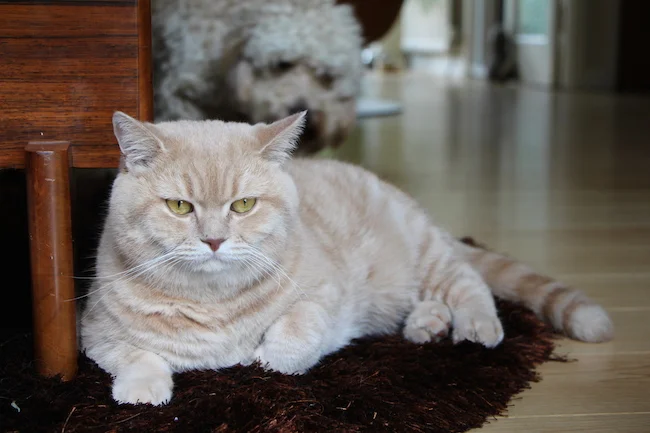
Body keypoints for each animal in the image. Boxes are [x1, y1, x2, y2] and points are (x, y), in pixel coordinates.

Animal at [81, 111, 612, 404]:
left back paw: (474, 325)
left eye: (244, 205)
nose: (214, 241)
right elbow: (134, 353)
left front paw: (265, 358)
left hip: (424, 257)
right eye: (179, 207)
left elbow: (295, 334)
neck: (213, 303)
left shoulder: (324, 295)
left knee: (467, 281)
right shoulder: (95, 330)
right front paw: (142, 387)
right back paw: (427, 323)